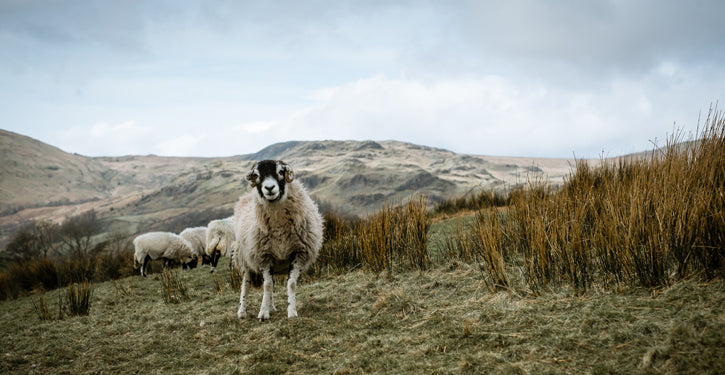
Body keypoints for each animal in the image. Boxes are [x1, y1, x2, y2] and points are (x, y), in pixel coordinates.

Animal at [233, 159, 324, 320]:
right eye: (256, 175)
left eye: (281, 172)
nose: (269, 188)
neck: (279, 227)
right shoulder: (263, 256)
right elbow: (267, 285)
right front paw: (263, 313)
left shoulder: (299, 253)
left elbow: (290, 284)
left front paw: (292, 311)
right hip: (244, 259)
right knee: (246, 284)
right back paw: (242, 312)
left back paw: (272, 307)